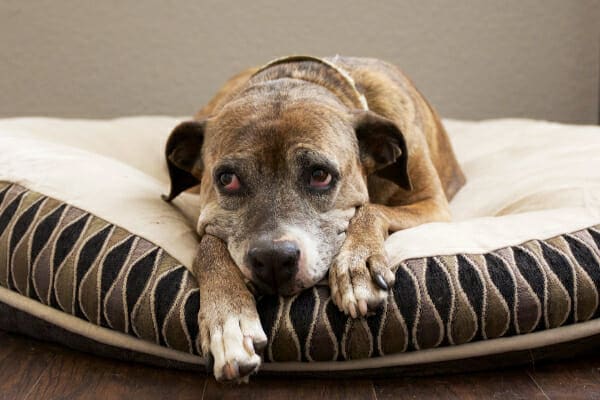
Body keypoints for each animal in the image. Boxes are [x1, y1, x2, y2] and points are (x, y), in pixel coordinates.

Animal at [162, 55, 466, 382]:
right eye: (227, 179)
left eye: (320, 175)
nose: (273, 259)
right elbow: (208, 247)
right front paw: (229, 321)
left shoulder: (432, 205)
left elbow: (370, 209)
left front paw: (356, 267)